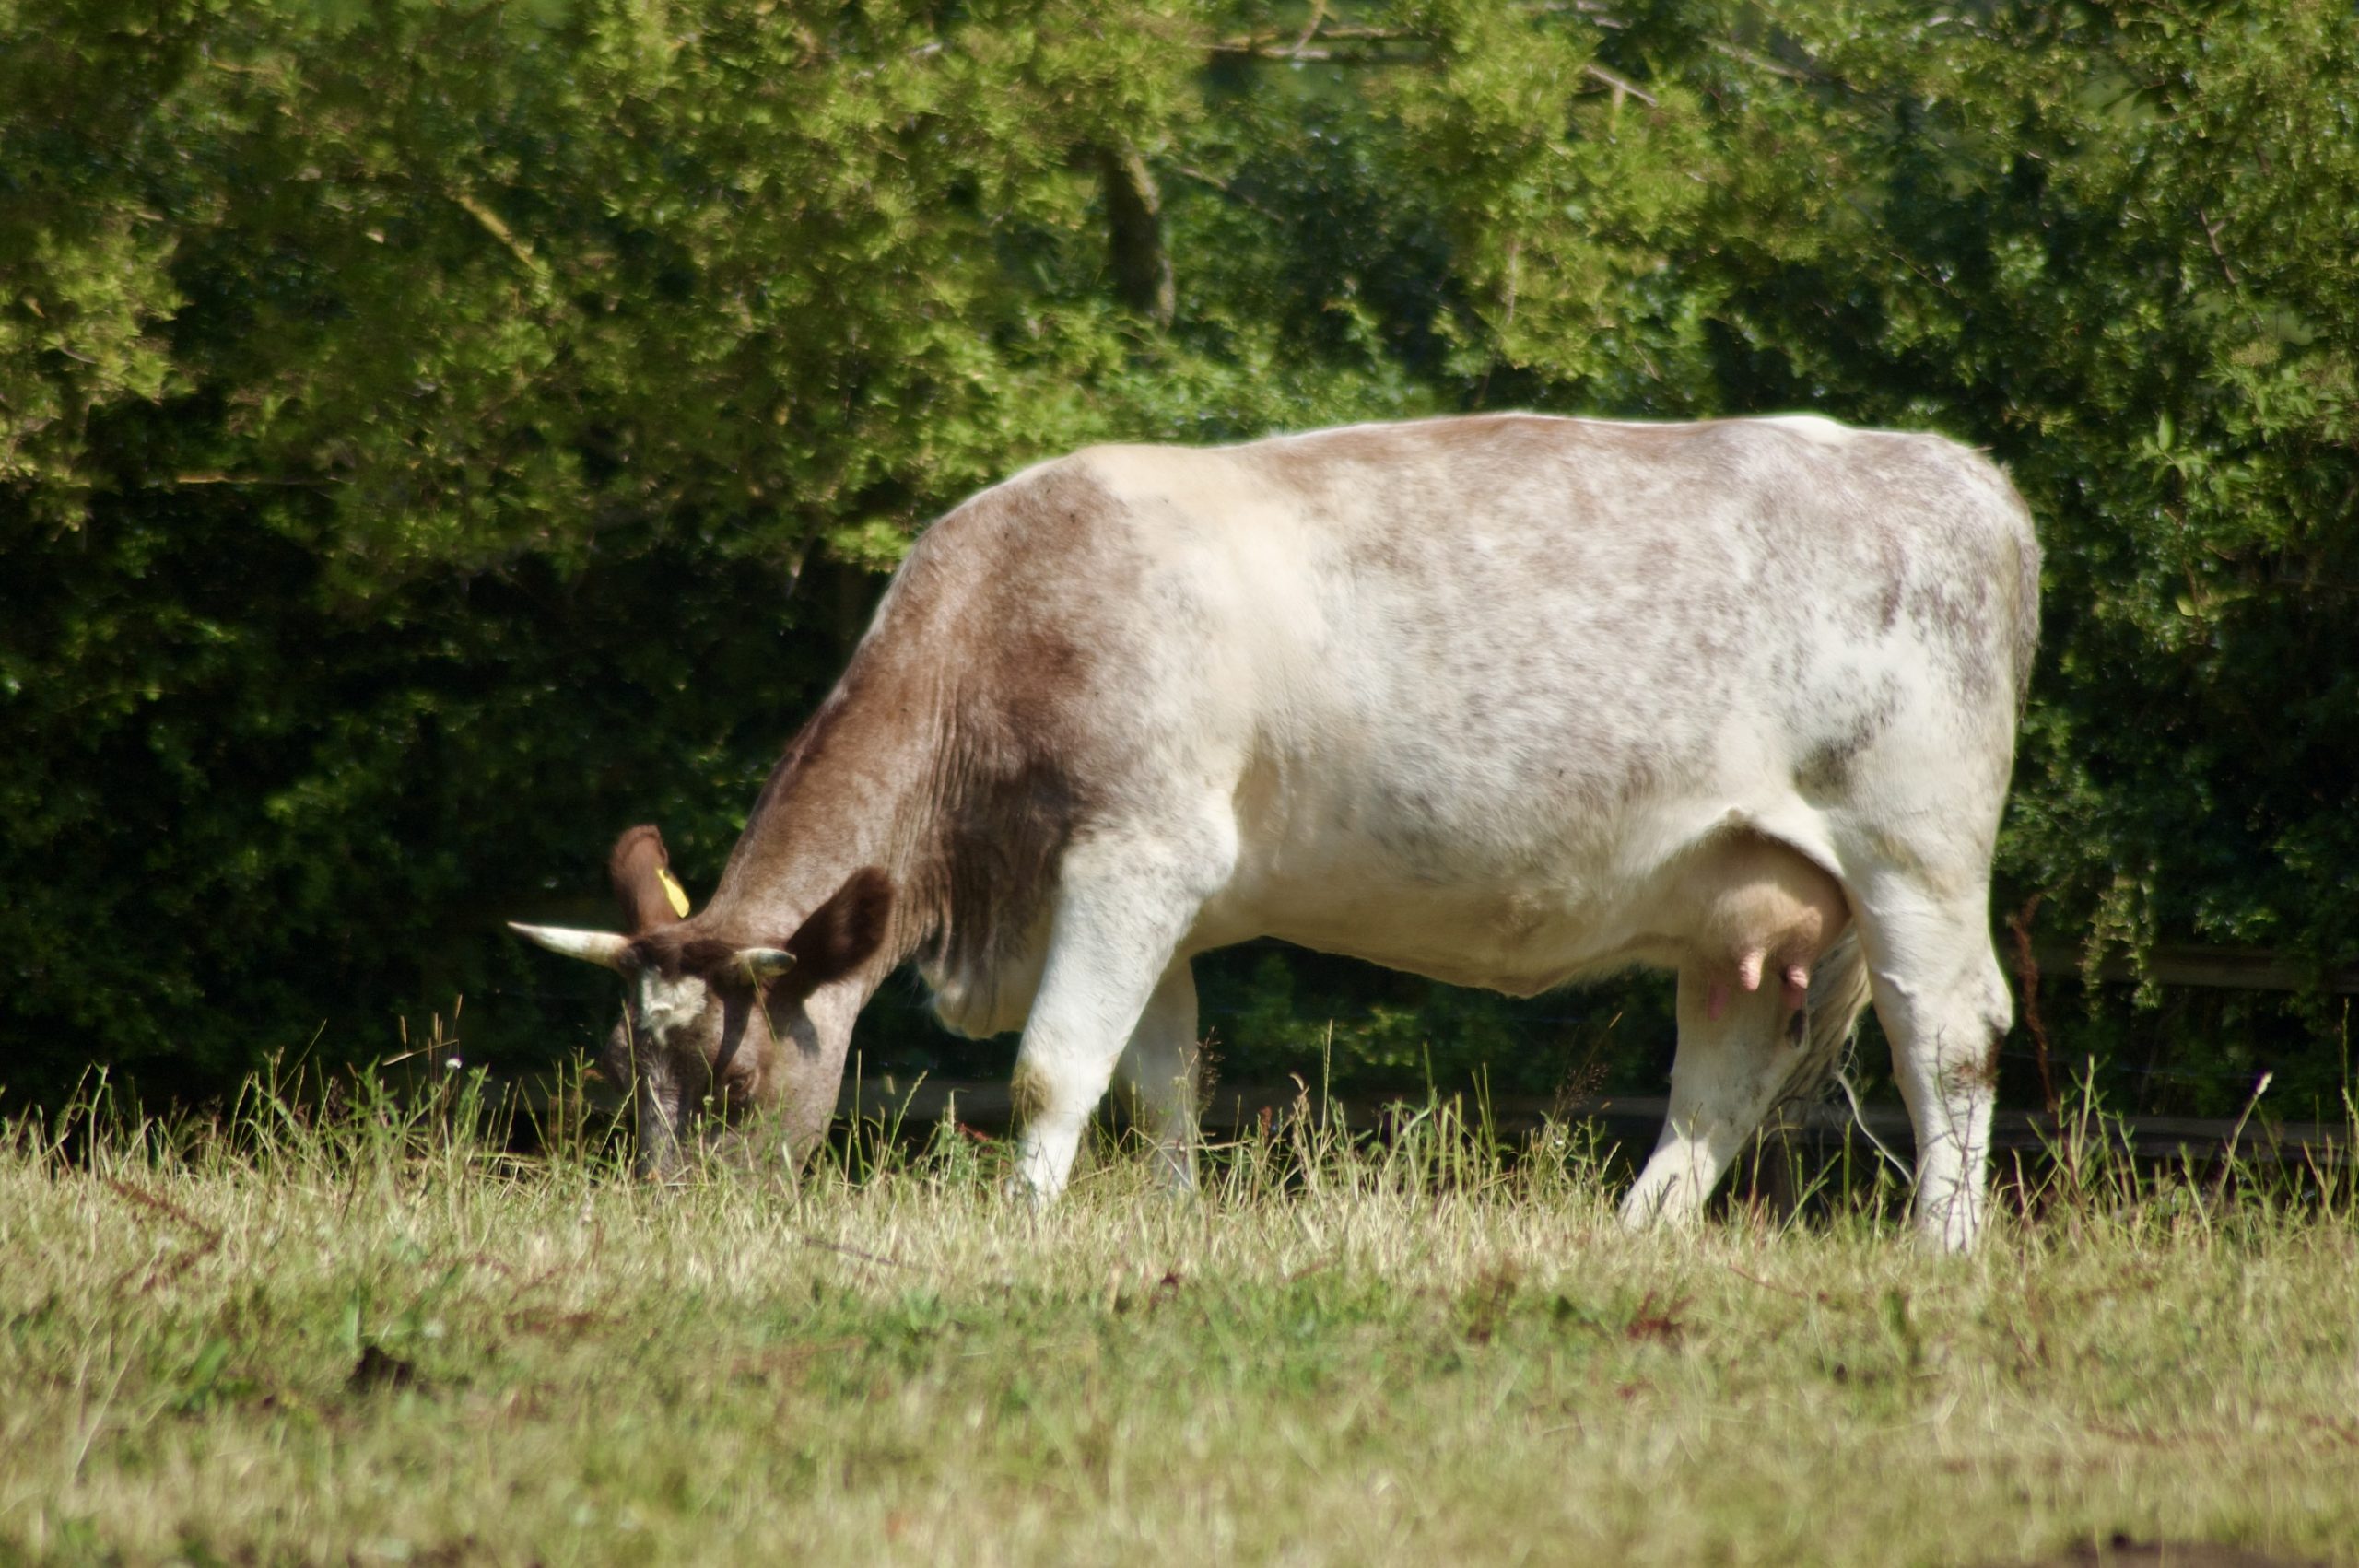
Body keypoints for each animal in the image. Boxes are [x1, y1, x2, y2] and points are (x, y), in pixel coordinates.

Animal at [512, 412, 2039, 1251]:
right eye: (620, 1067)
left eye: (727, 1078)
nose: (673, 1225)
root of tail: (1958, 473)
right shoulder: (1156, 896)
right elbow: (1162, 1082)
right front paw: (1164, 1224)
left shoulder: (1136, 851)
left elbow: (1053, 1069)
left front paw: (1020, 1227)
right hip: (1742, 900)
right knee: (1721, 1075)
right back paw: (1633, 1236)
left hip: (1911, 849)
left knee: (1950, 1037)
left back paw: (1942, 1245)